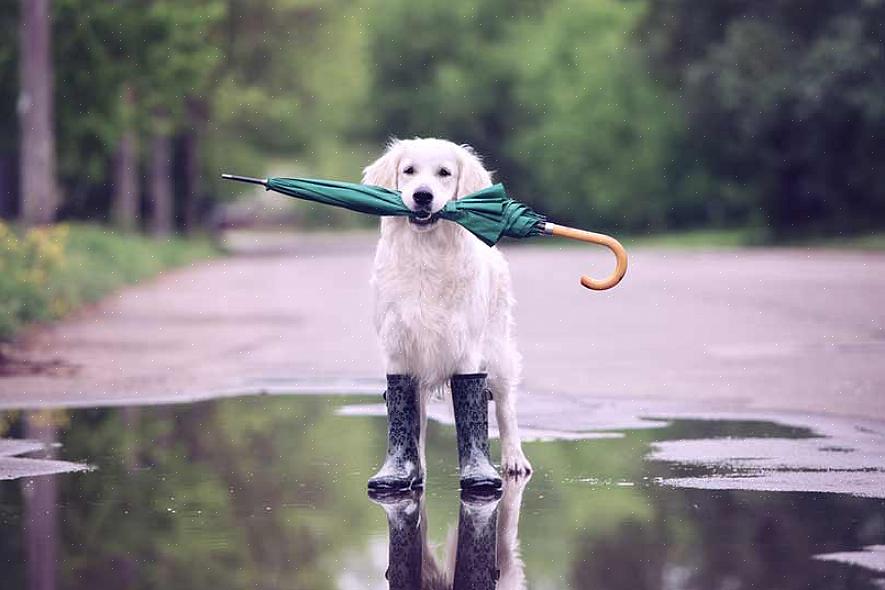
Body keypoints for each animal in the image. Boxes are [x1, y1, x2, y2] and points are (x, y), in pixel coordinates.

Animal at [360, 138, 528, 476]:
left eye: (444, 173)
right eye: (409, 171)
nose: (422, 195)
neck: (427, 254)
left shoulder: (466, 349)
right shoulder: (399, 349)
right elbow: (408, 416)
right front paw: (405, 469)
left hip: (497, 350)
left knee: (505, 405)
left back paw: (514, 459)